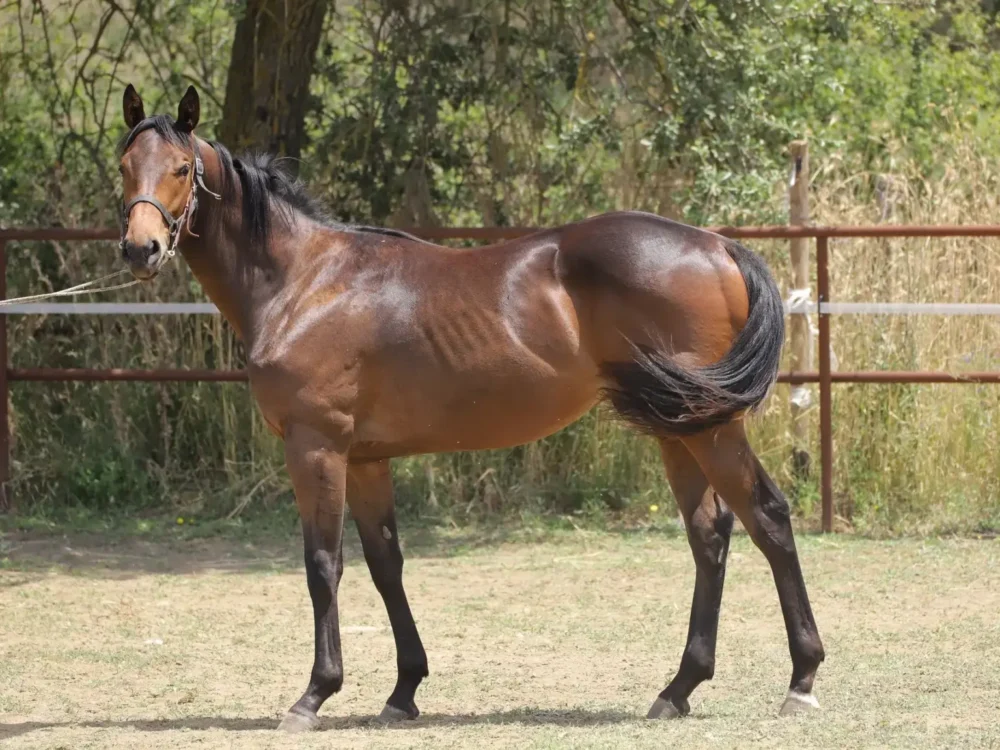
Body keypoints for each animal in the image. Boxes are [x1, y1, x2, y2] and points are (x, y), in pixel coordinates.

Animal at [116, 84, 824, 731]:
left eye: (180, 168)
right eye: (124, 165)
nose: (139, 249)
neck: (305, 283)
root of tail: (717, 245)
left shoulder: (316, 447)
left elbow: (324, 565)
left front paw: (314, 694)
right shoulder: (366, 460)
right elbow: (385, 565)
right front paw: (403, 691)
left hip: (710, 429)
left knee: (767, 518)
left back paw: (802, 680)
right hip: (676, 428)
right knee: (710, 536)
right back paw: (678, 688)